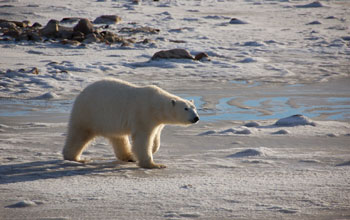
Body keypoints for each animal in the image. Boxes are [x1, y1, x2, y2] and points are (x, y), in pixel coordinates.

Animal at [63, 78, 200, 168]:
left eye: (194, 108)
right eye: (186, 108)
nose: (196, 118)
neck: (156, 105)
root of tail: (81, 94)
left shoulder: (157, 122)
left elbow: (155, 138)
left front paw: (146, 152)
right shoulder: (143, 114)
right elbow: (142, 139)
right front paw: (154, 164)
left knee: (118, 138)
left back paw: (128, 156)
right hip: (89, 113)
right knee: (79, 134)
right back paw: (76, 158)